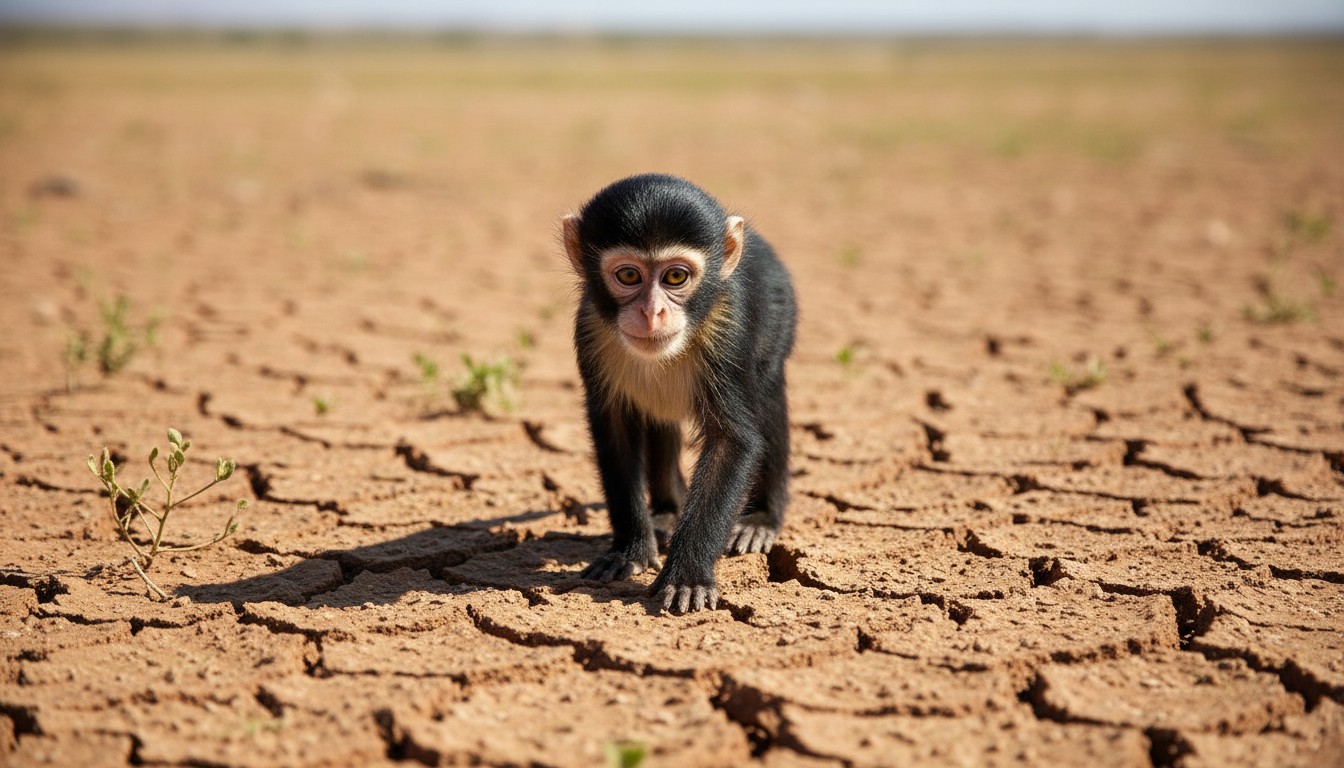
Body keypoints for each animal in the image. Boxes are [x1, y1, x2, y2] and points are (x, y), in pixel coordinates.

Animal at [562, 174, 797, 613]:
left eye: (675, 278)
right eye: (629, 276)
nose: (652, 312)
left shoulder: (726, 325)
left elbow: (732, 441)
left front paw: (687, 577)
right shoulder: (590, 326)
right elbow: (614, 430)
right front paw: (629, 551)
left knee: (769, 395)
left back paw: (761, 520)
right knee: (659, 416)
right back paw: (669, 513)